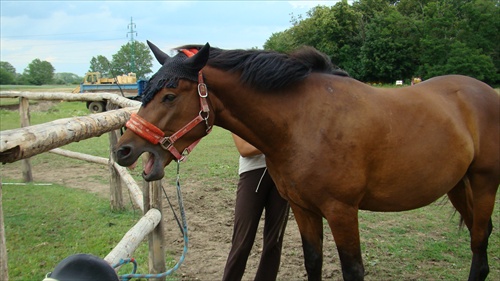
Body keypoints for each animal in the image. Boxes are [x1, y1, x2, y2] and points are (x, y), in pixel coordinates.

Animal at [115, 42, 498, 280]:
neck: (304, 122)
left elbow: (353, 270)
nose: (123, 150)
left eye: (169, 95)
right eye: (146, 92)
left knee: (480, 243)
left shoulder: (342, 211)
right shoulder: (303, 208)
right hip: (456, 186)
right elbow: (313, 262)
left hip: (483, 184)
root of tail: (484, 91)